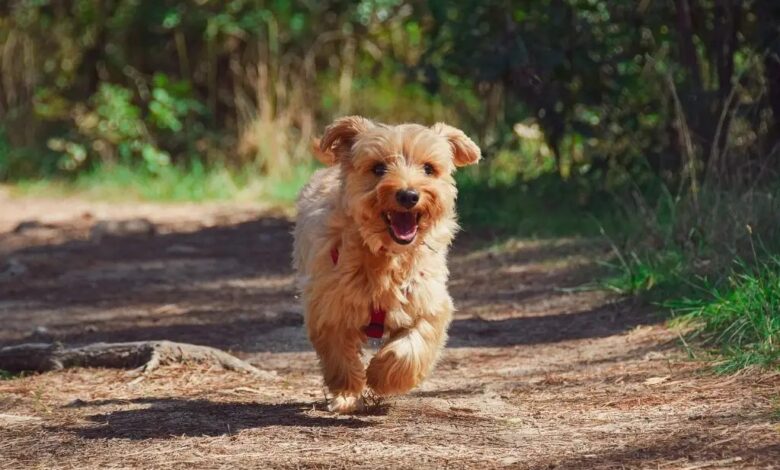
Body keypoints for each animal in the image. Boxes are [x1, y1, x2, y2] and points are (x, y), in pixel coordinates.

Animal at [290, 115, 478, 414]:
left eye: (429, 168)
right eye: (378, 168)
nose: (408, 195)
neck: (387, 256)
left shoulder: (429, 302)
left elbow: (413, 346)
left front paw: (382, 375)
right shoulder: (329, 306)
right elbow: (339, 355)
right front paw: (347, 392)